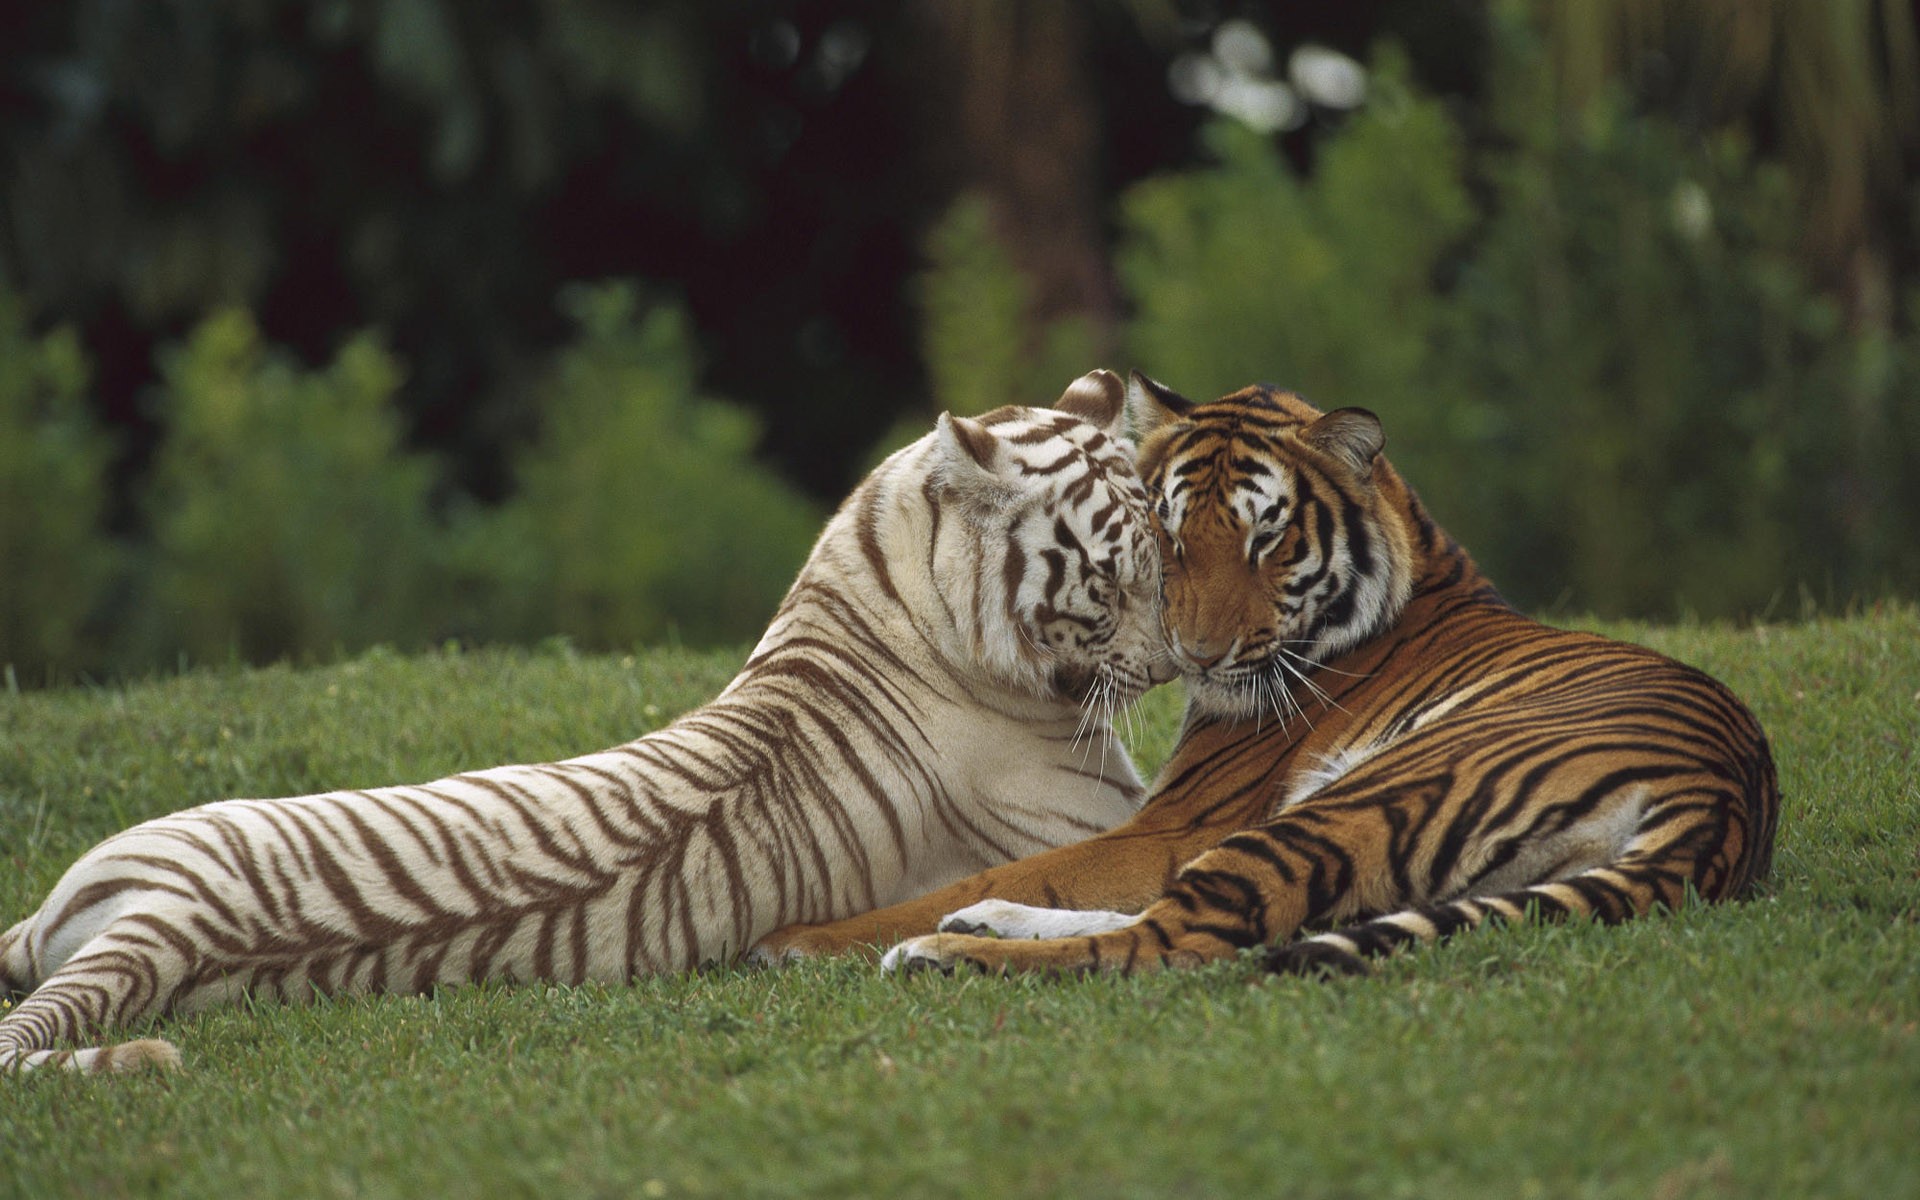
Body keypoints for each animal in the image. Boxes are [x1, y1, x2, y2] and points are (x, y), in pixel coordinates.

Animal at [748, 375, 1780, 977]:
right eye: (1169, 535)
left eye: (1267, 539)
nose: (1194, 657)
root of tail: (1724, 801)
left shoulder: (1180, 822)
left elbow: (1029, 865)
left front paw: (804, 938)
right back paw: (979, 926)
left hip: (1355, 801)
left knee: (1172, 938)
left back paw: (936, 951)